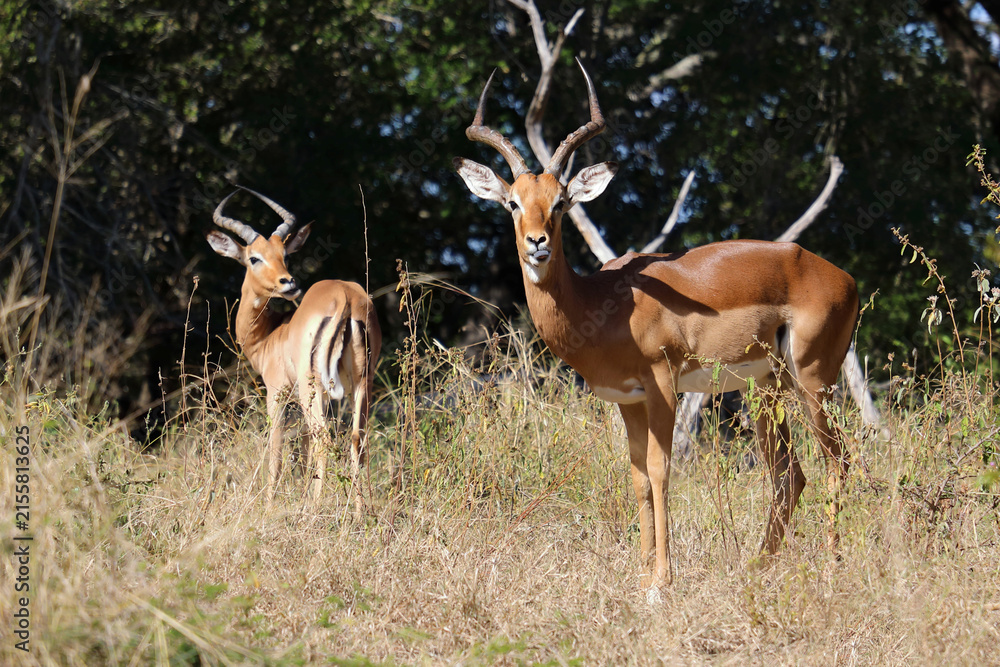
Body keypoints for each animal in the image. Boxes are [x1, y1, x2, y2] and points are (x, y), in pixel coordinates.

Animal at [207, 187, 381, 510]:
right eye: (254, 258)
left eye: (285, 255)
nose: (288, 282)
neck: (272, 334)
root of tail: (346, 298)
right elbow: (302, 451)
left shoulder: (277, 392)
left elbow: (277, 450)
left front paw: (269, 505)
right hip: (361, 383)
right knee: (357, 439)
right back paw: (362, 513)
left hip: (310, 385)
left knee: (325, 440)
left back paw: (313, 511)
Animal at [453, 61, 858, 596]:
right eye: (513, 203)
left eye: (560, 202)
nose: (537, 243)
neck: (601, 303)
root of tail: (842, 278)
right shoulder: (628, 400)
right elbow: (638, 478)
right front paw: (643, 571)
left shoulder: (663, 383)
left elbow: (661, 470)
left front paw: (660, 582)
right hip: (765, 388)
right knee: (790, 474)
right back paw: (758, 566)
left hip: (813, 381)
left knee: (839, 460)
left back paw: (832, 566)